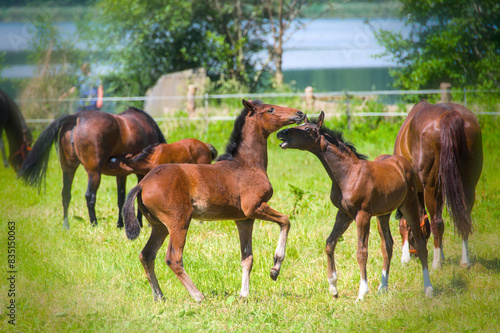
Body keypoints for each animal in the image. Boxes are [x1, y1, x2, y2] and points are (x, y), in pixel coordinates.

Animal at [18, 106, 166, 228]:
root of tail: (77, 117)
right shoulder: (141, 173)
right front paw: (139, 223)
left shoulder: (121, 174)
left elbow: (121, 198)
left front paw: (120, 224)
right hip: (94, 172)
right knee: (90, 196)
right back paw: (94, 224)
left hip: (68, 169)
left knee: (66, 194)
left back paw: (66, 225)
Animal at [123, 98, 304, 300]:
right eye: (270, 109)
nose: (299, 113)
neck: (248, 164)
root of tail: (143, 183)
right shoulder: (254, 207)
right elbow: (286, 221)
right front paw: (275, 268)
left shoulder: (245, 219)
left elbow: (247, 258)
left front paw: (244, 295)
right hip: (179, 222)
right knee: (173, 258)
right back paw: (197, 296)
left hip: (159, 226)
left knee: (146, 255)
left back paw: (159, 296)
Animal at [278, 111, 434, 298]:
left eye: (307, 129)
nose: (281, 134)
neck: (348, 174)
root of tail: (403, 163)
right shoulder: (344, 213)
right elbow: (330, 243)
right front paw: (333, 287)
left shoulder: (362, 214)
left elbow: (361, 251)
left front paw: (362, 292)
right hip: (383, 214)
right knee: (387, 245)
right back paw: (383, 287)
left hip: (408, 206)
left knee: (420, 243)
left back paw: (428, 288)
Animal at [392, 100, 482, 268]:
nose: (414, 253)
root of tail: (449, 114)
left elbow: (406, 222)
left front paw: (405, 257)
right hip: (468, 186)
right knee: (464, 219)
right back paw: (465, 261)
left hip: (431, 187)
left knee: (437, 222)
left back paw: (436, 264)